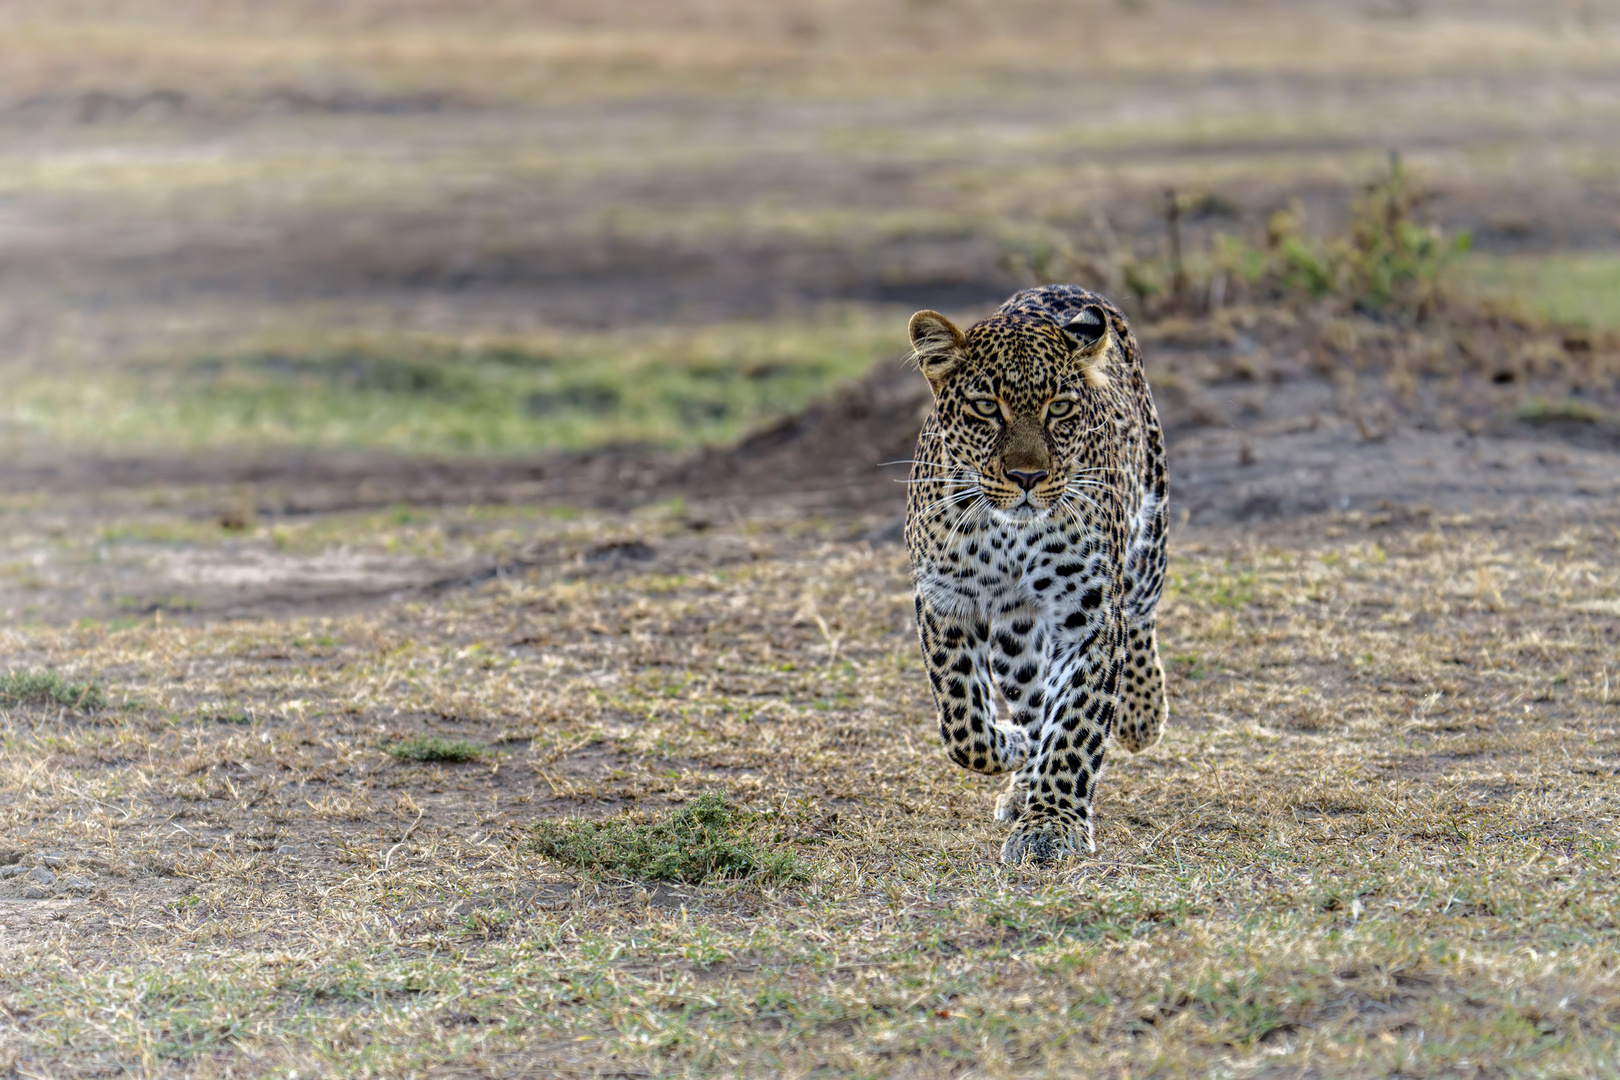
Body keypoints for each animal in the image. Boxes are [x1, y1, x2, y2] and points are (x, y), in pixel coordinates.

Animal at [913, 283, 1166, 867]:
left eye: (1060, 408)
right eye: (987, 408)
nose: (1027, 477)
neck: (1010, 534)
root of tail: (1056, 288)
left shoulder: (1089, 617)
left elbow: (1074, 724)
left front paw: (1052, 825)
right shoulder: (943, 601)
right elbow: (962, 725)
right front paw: (1012, 749)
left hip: (1152, 521)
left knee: (1142, 608)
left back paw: (1142, 714)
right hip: (1016, 634)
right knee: (1031, 699)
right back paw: (1024, 776)